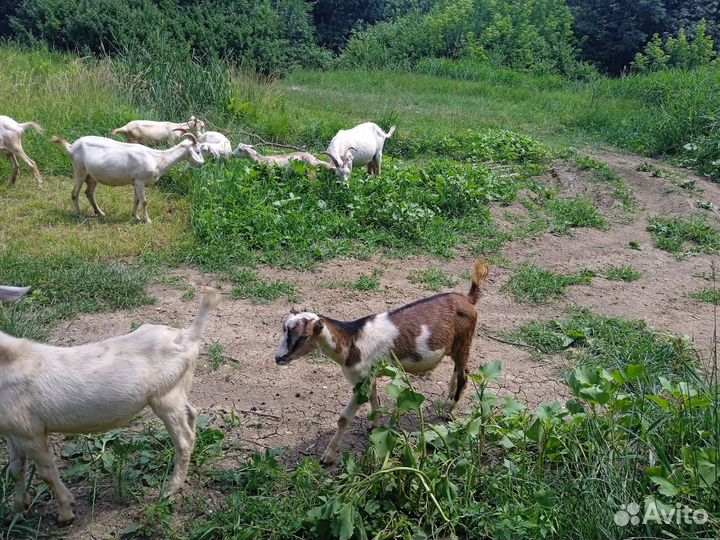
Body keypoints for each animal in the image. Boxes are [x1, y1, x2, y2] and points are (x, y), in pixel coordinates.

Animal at [0, 287, 220, 525]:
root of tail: (187, 336)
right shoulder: (13, 431)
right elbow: (16, 470)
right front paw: (16, 512)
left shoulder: (30, 431)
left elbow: (46, 473)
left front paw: (66, 512)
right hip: (178, 390)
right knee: (191, 414)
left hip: (165, 396)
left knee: (184, 439)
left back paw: (170, 490)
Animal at [51, 133, 204, 224]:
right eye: (197, 151)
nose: (202, 164)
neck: (157, 158)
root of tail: (71, 147)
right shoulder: (140, 181)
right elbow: (144, 202)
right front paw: (147, 220)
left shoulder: (135, 181)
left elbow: (136, 200)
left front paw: (135, 216)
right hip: (79, 170)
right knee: (74, 193)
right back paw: (79, 215)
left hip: (91, 176)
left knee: (89, 193)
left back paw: (100, 213)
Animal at [275, 260, 489, 464]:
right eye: (284, 330)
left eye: (303, 336)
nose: (279, 358)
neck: (352, 341)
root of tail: (468, 299)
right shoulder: (370, 375)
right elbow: (373, 398)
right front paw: (374, 425)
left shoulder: (362, 379)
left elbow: (344, 418)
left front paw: (328, 456)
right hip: (456, 345)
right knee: (461, 369)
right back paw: (450, 397)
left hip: (464, 340)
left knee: (464, 375)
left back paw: (451, 411)